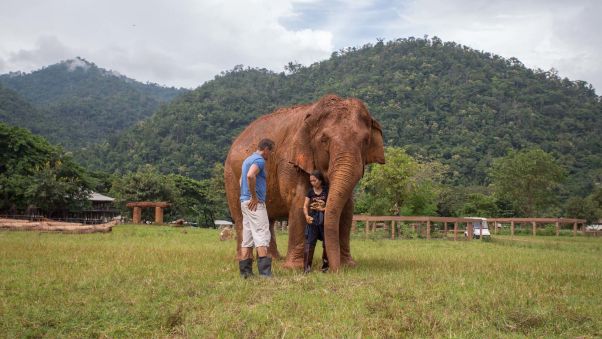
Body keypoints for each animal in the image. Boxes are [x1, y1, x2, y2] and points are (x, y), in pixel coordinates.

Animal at [223, 94, 382, 272]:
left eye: (366, 140)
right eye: (324, 139)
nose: (332, 270)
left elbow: (348, 208)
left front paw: (349, 265)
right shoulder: (289, 161)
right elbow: (299, 200)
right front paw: (294, 268)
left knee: (267, 220)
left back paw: (274, 258)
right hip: (231, 178)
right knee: (241, 218)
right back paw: (244, 258)